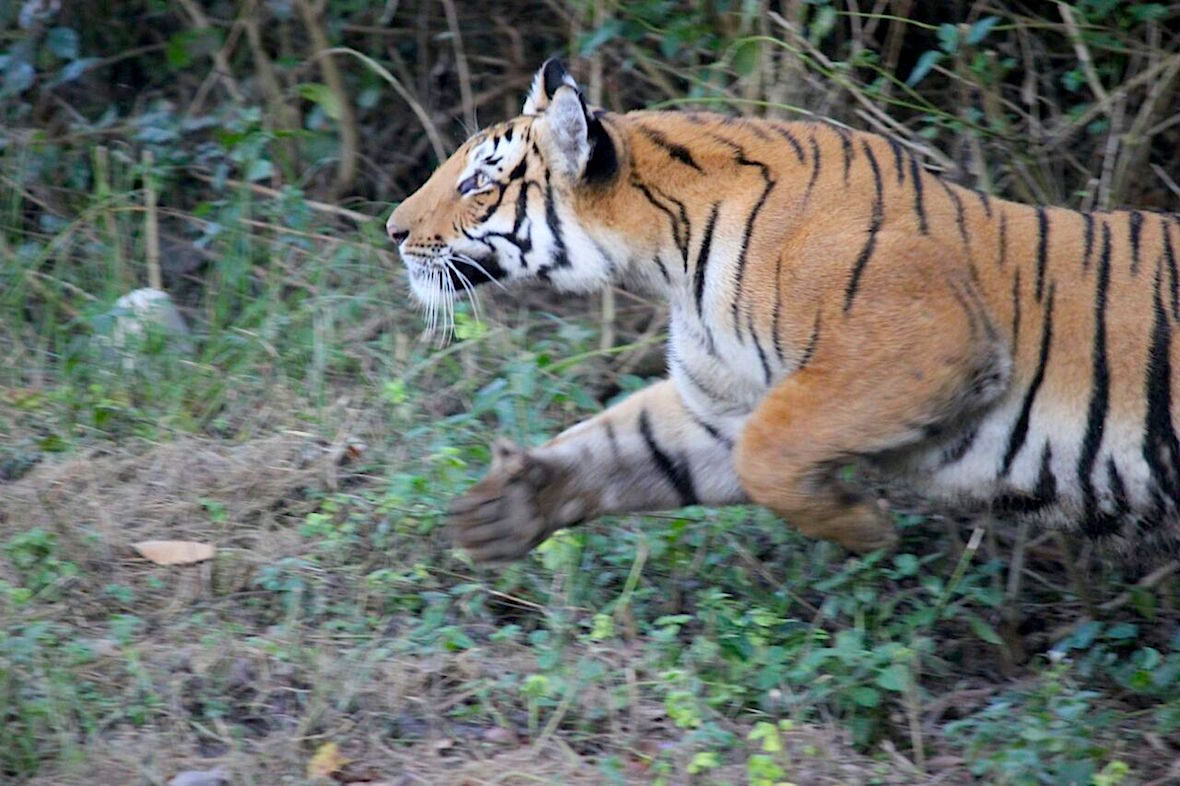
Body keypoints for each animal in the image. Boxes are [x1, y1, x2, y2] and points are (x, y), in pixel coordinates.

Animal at [384, 58, 1180, 559]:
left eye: (476, 184)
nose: (391, 231)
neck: (670, 257)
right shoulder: (716, 400)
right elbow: (619, 448)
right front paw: (507, 506)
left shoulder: (924, 345)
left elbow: (768, 455)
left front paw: (865, 528)